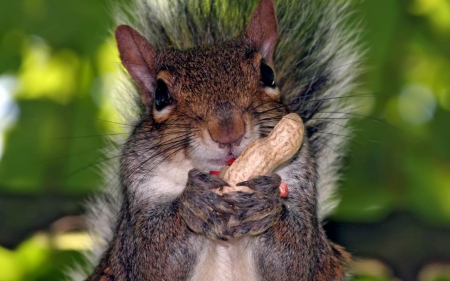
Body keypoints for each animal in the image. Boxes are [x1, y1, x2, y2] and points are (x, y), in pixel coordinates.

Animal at [74, 0, 362, 278]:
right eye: (160, 95)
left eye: (268, 74)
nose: (228, 131)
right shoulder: (139, 196)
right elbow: (152, 257)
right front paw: (194, 201)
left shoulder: (301, 180)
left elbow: (297, 257)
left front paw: (265, 202)